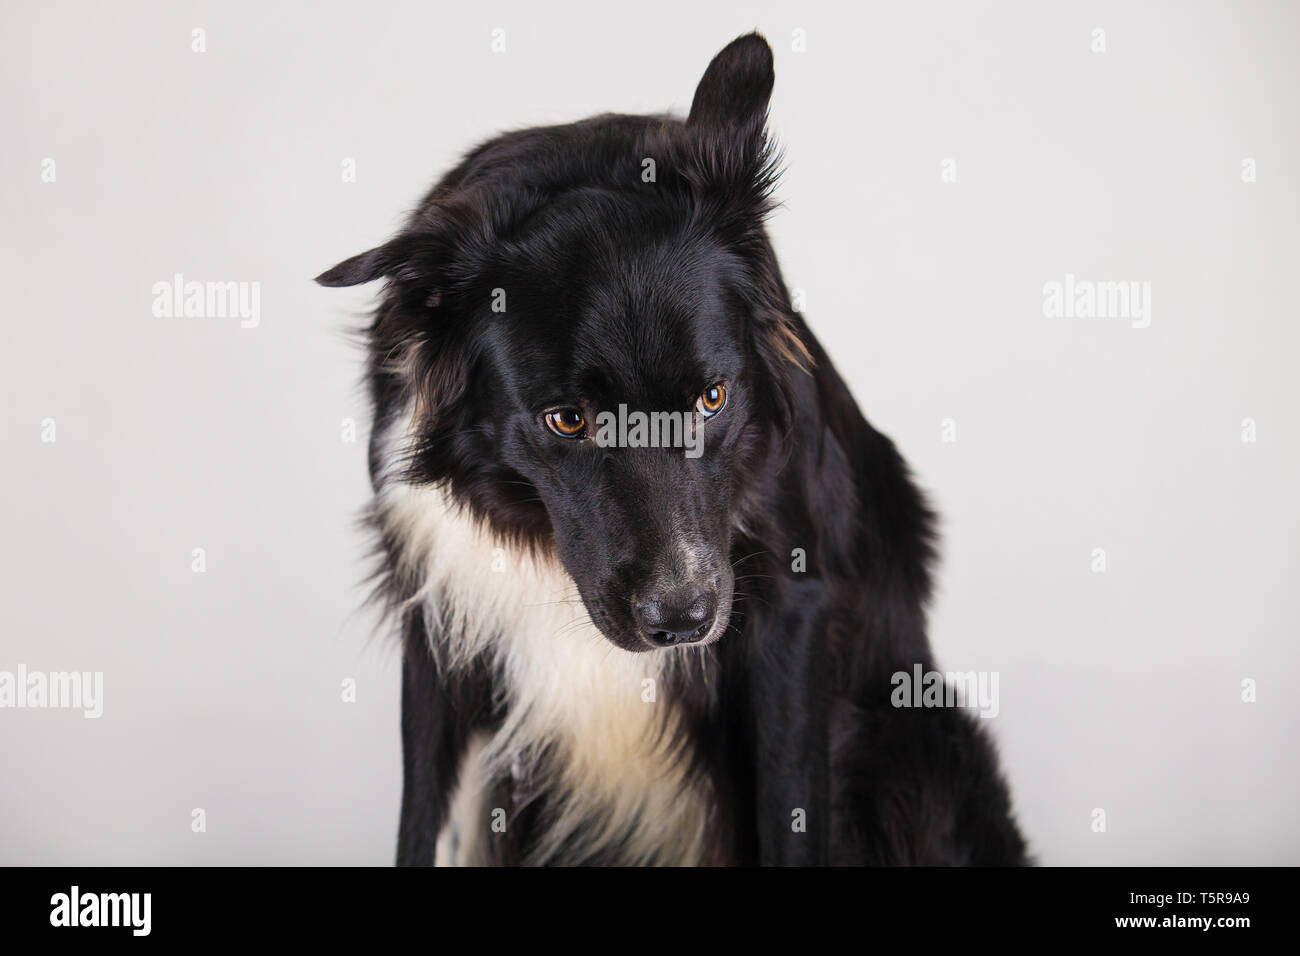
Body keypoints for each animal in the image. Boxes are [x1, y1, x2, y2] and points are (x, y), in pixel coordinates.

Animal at [314, 33, 1024, 868]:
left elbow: (791, 817)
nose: (682, 620)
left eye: (712, 400)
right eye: (567, 420)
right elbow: (422, 822)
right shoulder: (436, 612)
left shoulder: (792, 609)